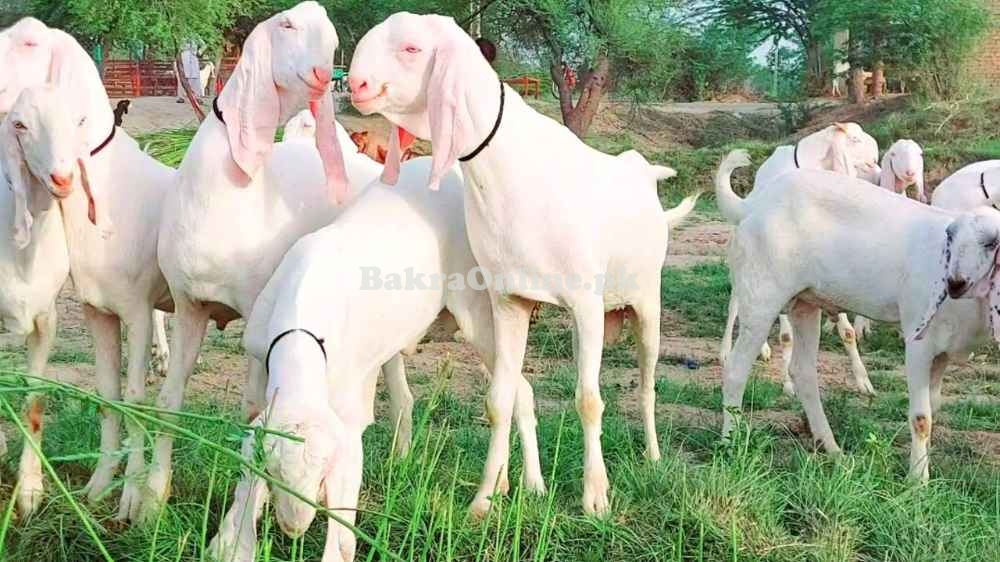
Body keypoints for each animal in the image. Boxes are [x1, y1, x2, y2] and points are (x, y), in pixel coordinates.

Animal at [146, 2, 412, 524]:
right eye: (287, 25)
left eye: (333, 40)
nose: (325, 75)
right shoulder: (189, 305)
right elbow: (170, 399)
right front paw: (147, 499)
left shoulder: (258, 315)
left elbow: (252, 411)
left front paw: (245, 506)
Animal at [207, 156, 544, 560]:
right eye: (272, 472)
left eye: (322, 471)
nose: (294, 526)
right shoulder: (260, 365)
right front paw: (231, 540)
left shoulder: (347, 411)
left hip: (478, 307)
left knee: (516, 389)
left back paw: (527, 487)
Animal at [348, 13, 700, 516]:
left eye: (412, 49)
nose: (355, 84)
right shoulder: (508, 301)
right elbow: (500, 398)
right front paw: (484, 498)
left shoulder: (585, 302)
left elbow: (589, 400)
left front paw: (595, 497)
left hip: (646, 301)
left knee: (648, 380)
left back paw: (652, 456)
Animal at [716, 149, 1000, 482]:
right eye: (951, 237)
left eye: (991, 242)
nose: (955, 283)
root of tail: (751, 204)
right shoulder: (919, 343)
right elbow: (921, 418)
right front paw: (917, 481)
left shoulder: (942, 351)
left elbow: (934, 406)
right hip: (762, 297)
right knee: (736, 369)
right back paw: (729, 443)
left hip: (805, 304)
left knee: (804, 372)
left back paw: (831, 448)